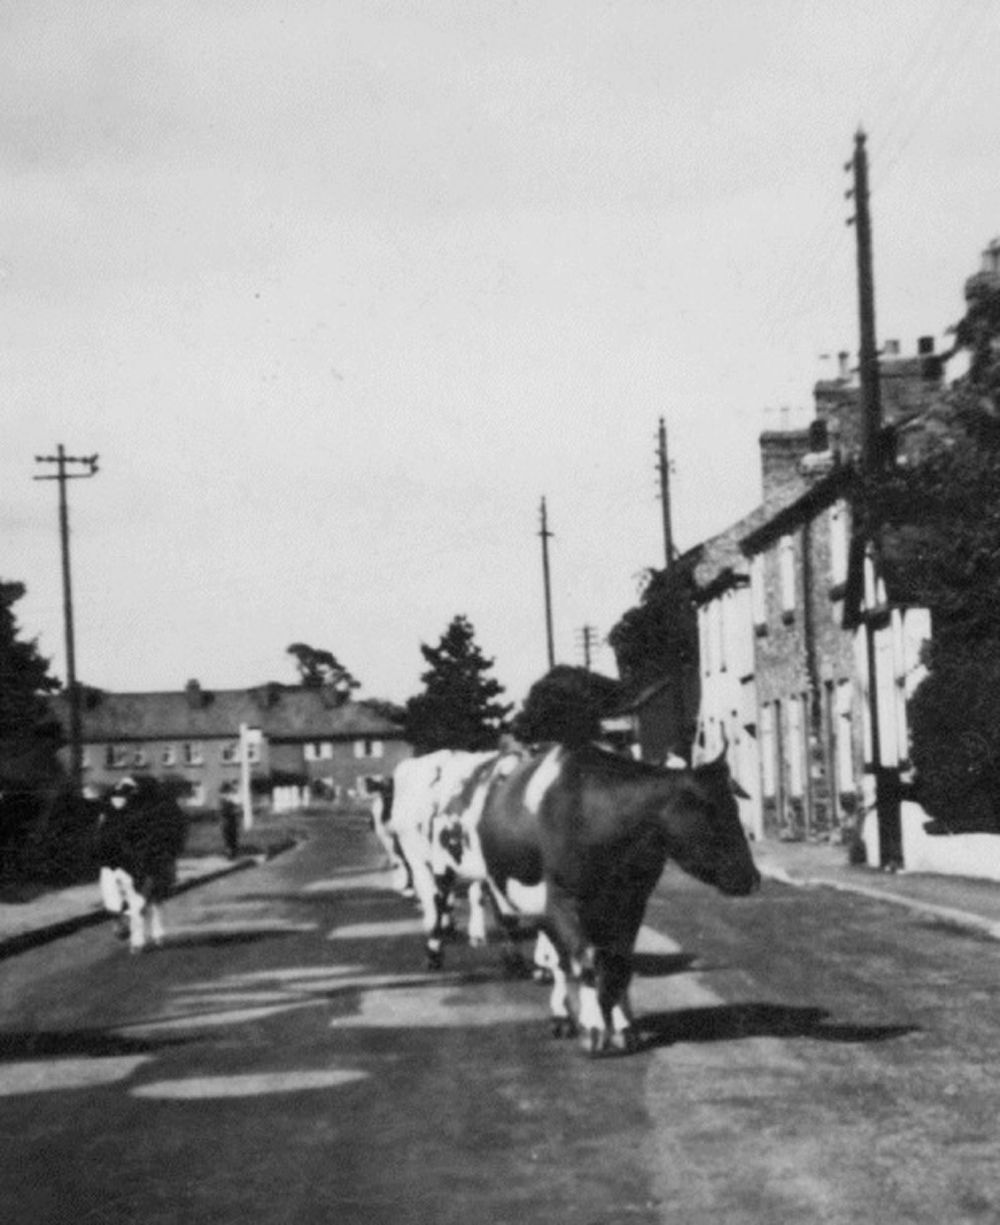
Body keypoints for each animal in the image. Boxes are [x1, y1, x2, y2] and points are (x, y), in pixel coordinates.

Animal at [473, 739, 759, 1058]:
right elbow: (584, 961)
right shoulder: (562, 902)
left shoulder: (631, 902)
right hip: (529, 907)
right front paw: (593, 1027)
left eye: (734, 807)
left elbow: (619, 965)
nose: (752, 877)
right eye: (713, 813)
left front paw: (621, 1026)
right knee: (558, 960)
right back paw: (563, 1016)